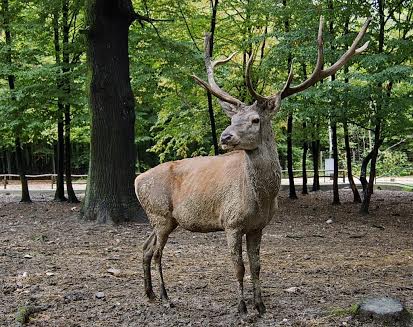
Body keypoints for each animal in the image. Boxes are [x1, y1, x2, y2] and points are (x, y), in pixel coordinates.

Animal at [135, 16, 370, 316]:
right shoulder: (231, 222)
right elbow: (238, 267)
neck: (261, 198)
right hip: (160, 214)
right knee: (157, 252)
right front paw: (242, 308)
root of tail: (137, 180)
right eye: (232, 118)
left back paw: (150, 294)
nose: (225, 137)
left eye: (255, 119)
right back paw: (166, 297)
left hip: (163, 219)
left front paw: (261, 305)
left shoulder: (258, 226)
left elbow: (257, 266)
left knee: (145, 247)